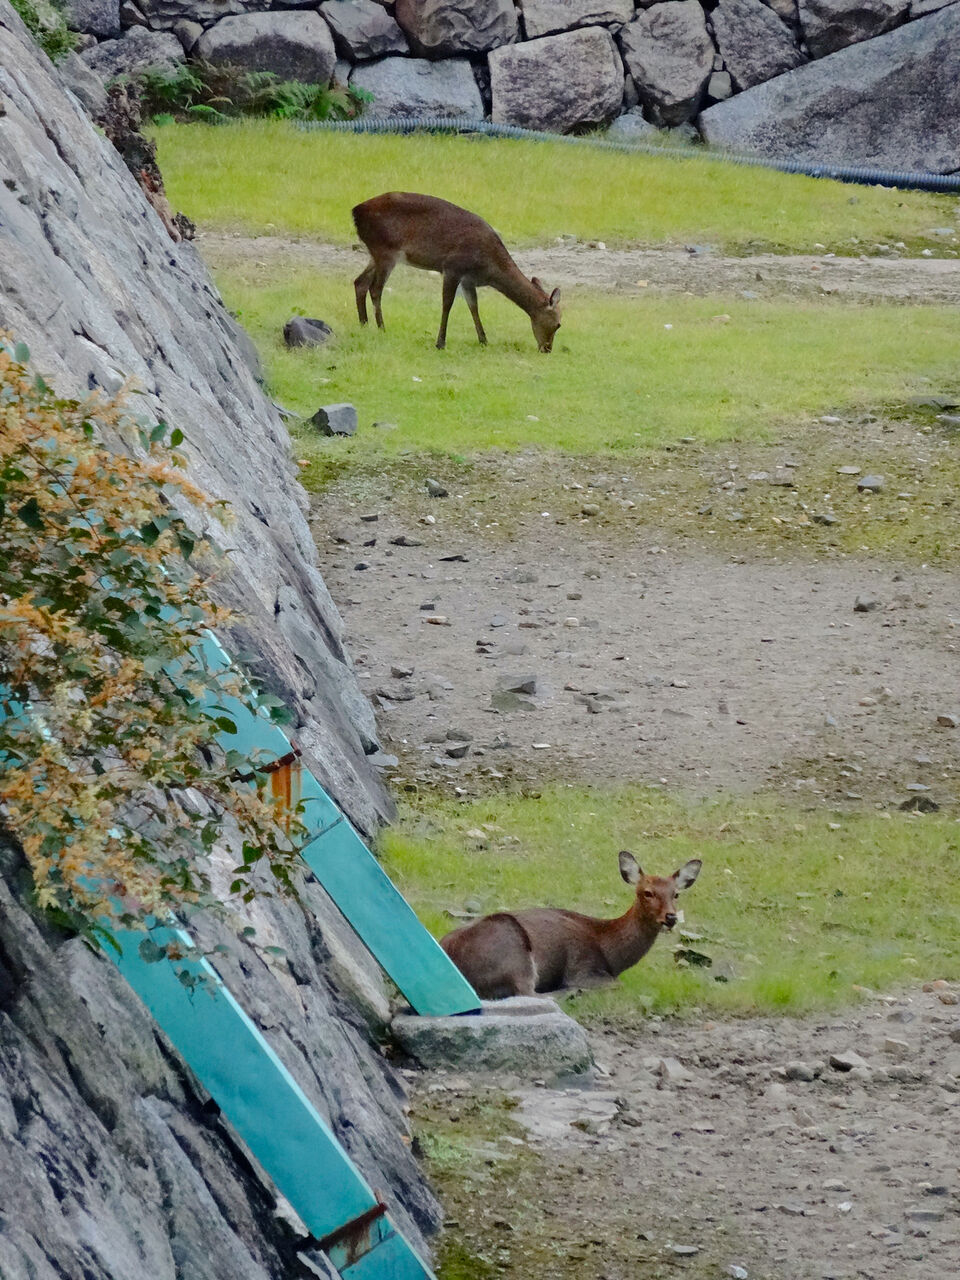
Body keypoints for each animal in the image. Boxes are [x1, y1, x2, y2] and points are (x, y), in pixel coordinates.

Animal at [351, 192, 562, 353]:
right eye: (559, 324)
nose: (547, 349)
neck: (489, 269)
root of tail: (355, 212)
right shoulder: (452, 267)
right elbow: (447, 304)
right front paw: (440, 343)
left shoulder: (468, 280)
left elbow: (473, 306)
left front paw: (483, 340)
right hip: (385, 250)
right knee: (375, 288)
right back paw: (381, 328)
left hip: (376, 253)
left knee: (359, 282)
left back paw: (364, 324)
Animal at [440, 852, 702, 1000]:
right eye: (647, 892)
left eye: (676, 894)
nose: (670, 917)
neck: (610, 952)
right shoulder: (582, 968)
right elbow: (616, 984)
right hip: (513, 949)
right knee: (531, 994)